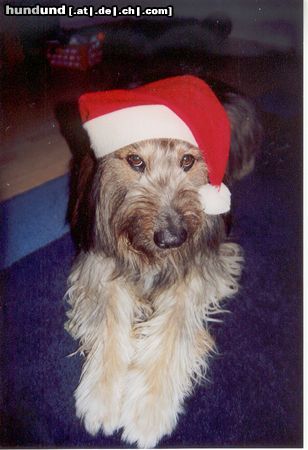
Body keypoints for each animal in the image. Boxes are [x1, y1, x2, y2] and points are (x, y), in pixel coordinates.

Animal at [65, 75, 262, 448]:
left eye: (187, 161)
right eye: (135, 161)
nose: (171, 239)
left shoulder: (199, 265)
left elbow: (174, 326)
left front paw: (149, 408)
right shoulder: (100, 260)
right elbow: (109, 318)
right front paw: (101, 395)